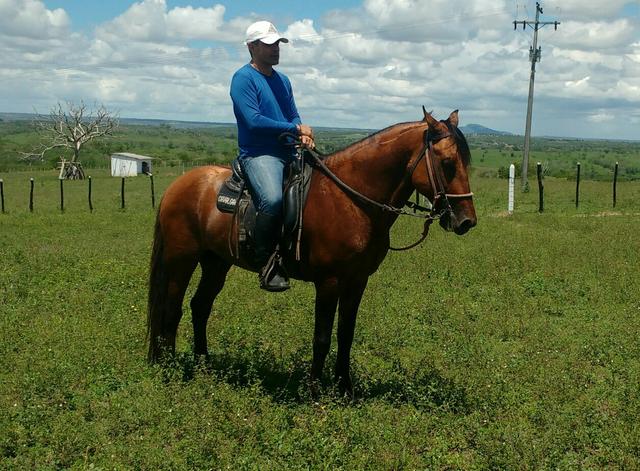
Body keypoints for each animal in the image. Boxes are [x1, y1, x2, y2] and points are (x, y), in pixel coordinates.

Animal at [147, 109, 477, 395]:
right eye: (448, 162)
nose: (467, 221)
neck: (352, 199)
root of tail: (178, 185)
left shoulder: (357, 280)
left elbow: (345, 334)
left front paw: (345, 389)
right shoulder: (329, 282)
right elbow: (322, 336)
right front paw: (315, 391)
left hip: (216, 263)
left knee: (200, 307)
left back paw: (203, 365)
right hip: (181, 259)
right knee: (171, 309)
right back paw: (170, 368)